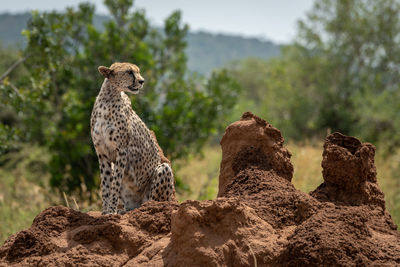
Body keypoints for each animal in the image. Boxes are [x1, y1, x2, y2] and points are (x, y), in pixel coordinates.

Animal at [91, 62, 175, 216]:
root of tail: (135, 204)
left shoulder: (122, 150)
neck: (108, 98)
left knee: (153, 202)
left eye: (138, 71)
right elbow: (106, 184)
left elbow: (115, 183)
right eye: (129, 72)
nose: (142, 81)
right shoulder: (101, 152)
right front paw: (105, 211)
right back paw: (123, 210)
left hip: (163, 170)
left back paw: (146, 208)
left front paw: (111, 210)